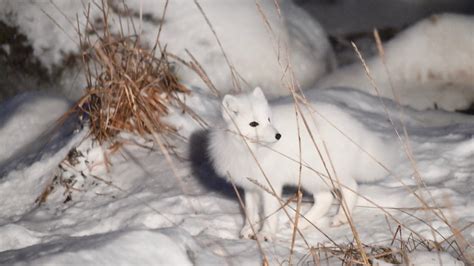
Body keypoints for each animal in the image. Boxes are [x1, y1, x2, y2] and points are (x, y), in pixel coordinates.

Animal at [209, 87, 394, 241]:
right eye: (253, 123)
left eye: (268, 119)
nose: (278, 136)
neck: (249, 152)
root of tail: (356, 129)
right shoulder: (250, 186)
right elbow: (250, 211)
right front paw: (248, 230)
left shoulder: (271, 184)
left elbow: (269, 212)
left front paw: (266, 234)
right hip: (312, 178)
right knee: (326, 199)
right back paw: (301, 223)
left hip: (321, 174)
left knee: (350, 188)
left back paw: (340, 218)